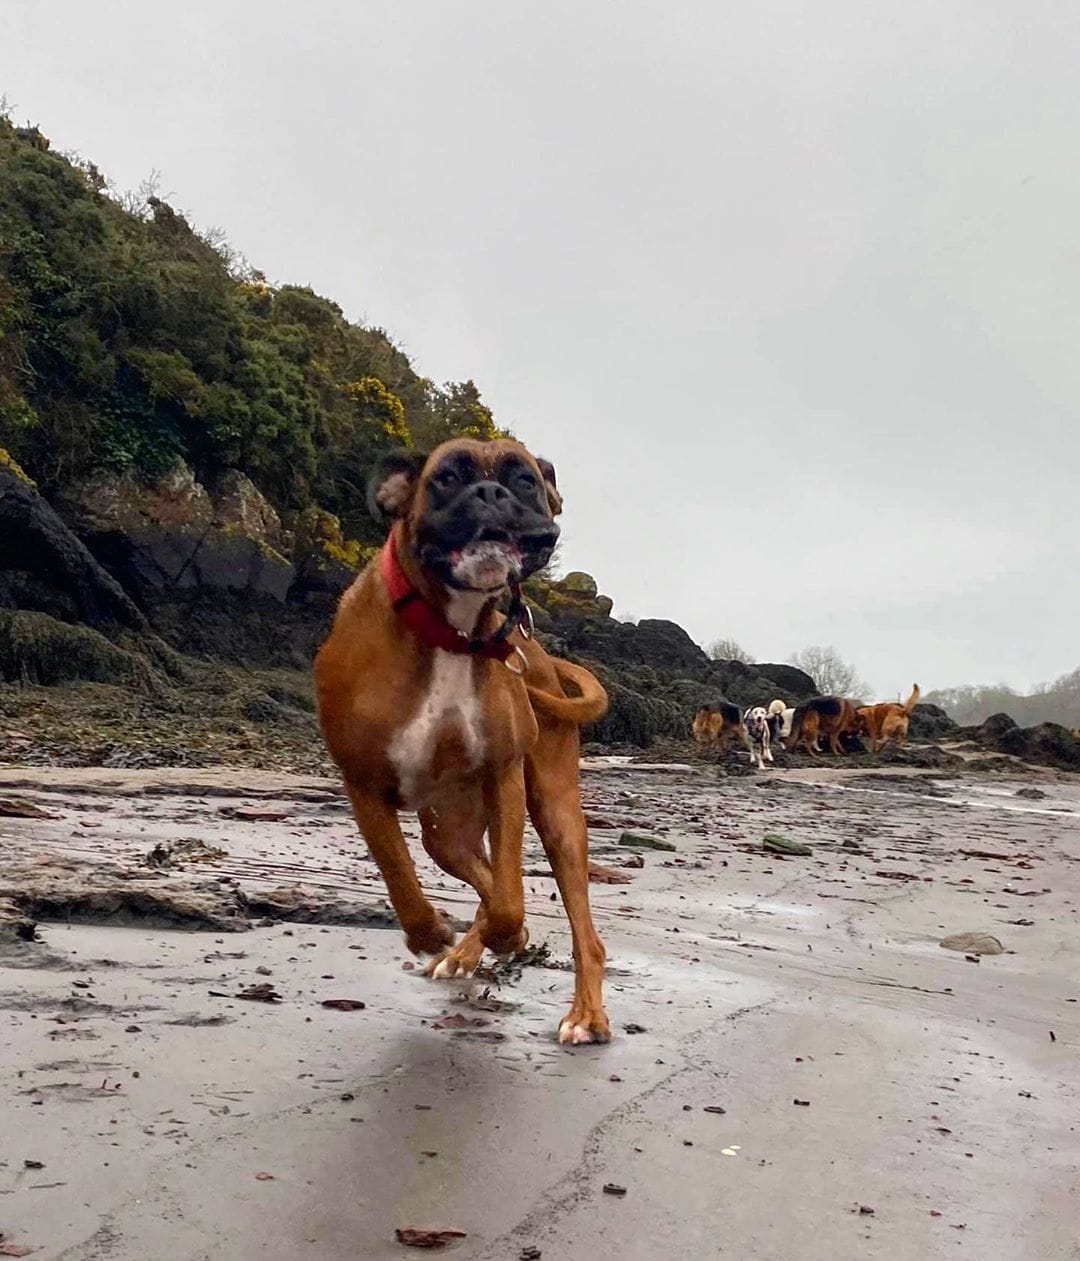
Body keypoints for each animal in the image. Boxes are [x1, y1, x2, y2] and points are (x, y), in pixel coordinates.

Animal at [315, 438, 611, 1046]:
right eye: (448, 477)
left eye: (524, 481)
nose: (490, 492)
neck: (450, 631)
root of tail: (541, 660)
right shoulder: (362, 782)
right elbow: (399, 874)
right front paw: (429, 933)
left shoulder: (503, 775)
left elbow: (509, 900)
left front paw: (504, 933)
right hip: (445, 835)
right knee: (476, 876)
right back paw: (467, 950)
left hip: (555, 814)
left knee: (574, 926)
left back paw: (584, 1013)